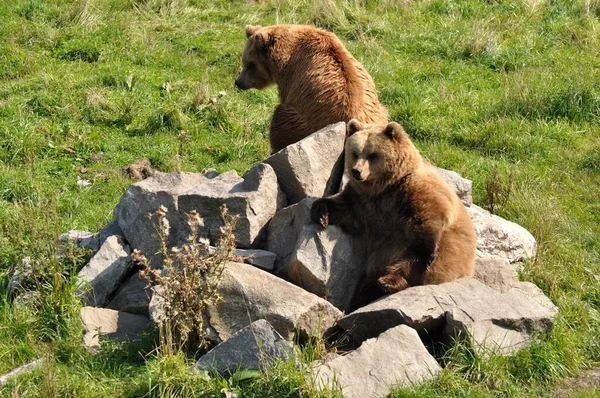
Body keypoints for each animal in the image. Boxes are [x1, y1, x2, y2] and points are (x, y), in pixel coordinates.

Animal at [234, 24, 390, 153]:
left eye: (251, 64)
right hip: (381, 111)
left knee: (281, 118)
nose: (239, 82)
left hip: (306, 123)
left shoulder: (291, 79)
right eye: (245, 61)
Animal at [312, 120, 476, 302]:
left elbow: (428, 218)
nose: (356, 171)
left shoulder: (415, 193)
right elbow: (345, 210)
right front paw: (321, 212)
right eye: (355, 153)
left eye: (372, 155)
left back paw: (388, 282)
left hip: (447, 256)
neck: (385, 187)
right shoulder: (364, 202)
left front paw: (428, 253)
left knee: (411, 263)